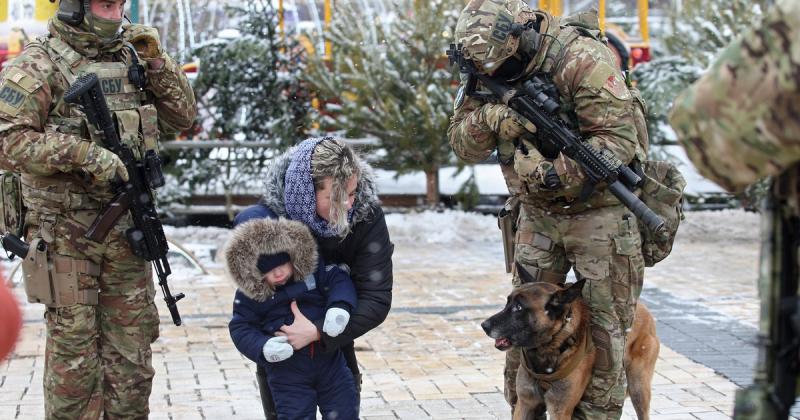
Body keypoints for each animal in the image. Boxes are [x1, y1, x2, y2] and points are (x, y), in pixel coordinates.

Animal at [482, 278, 656, 420]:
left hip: (638, 387)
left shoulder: (560, 410)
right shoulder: (525, 404)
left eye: (518, 307)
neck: (549, 349)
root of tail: (644, 309)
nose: (484, 325)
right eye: (507, 303)